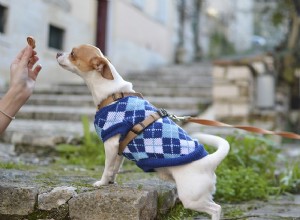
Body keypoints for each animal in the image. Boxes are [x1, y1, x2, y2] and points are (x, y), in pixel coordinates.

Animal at [56, 44, 230, 220]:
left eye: (73, 53)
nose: (57, 53)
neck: (114, 94)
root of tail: (209, 162)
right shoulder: (118, 150)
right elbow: (114, 169)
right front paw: (111, 182)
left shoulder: (110, 145)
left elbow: (107, 168)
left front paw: (102, 183)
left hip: (191, 198)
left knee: (216, 208)